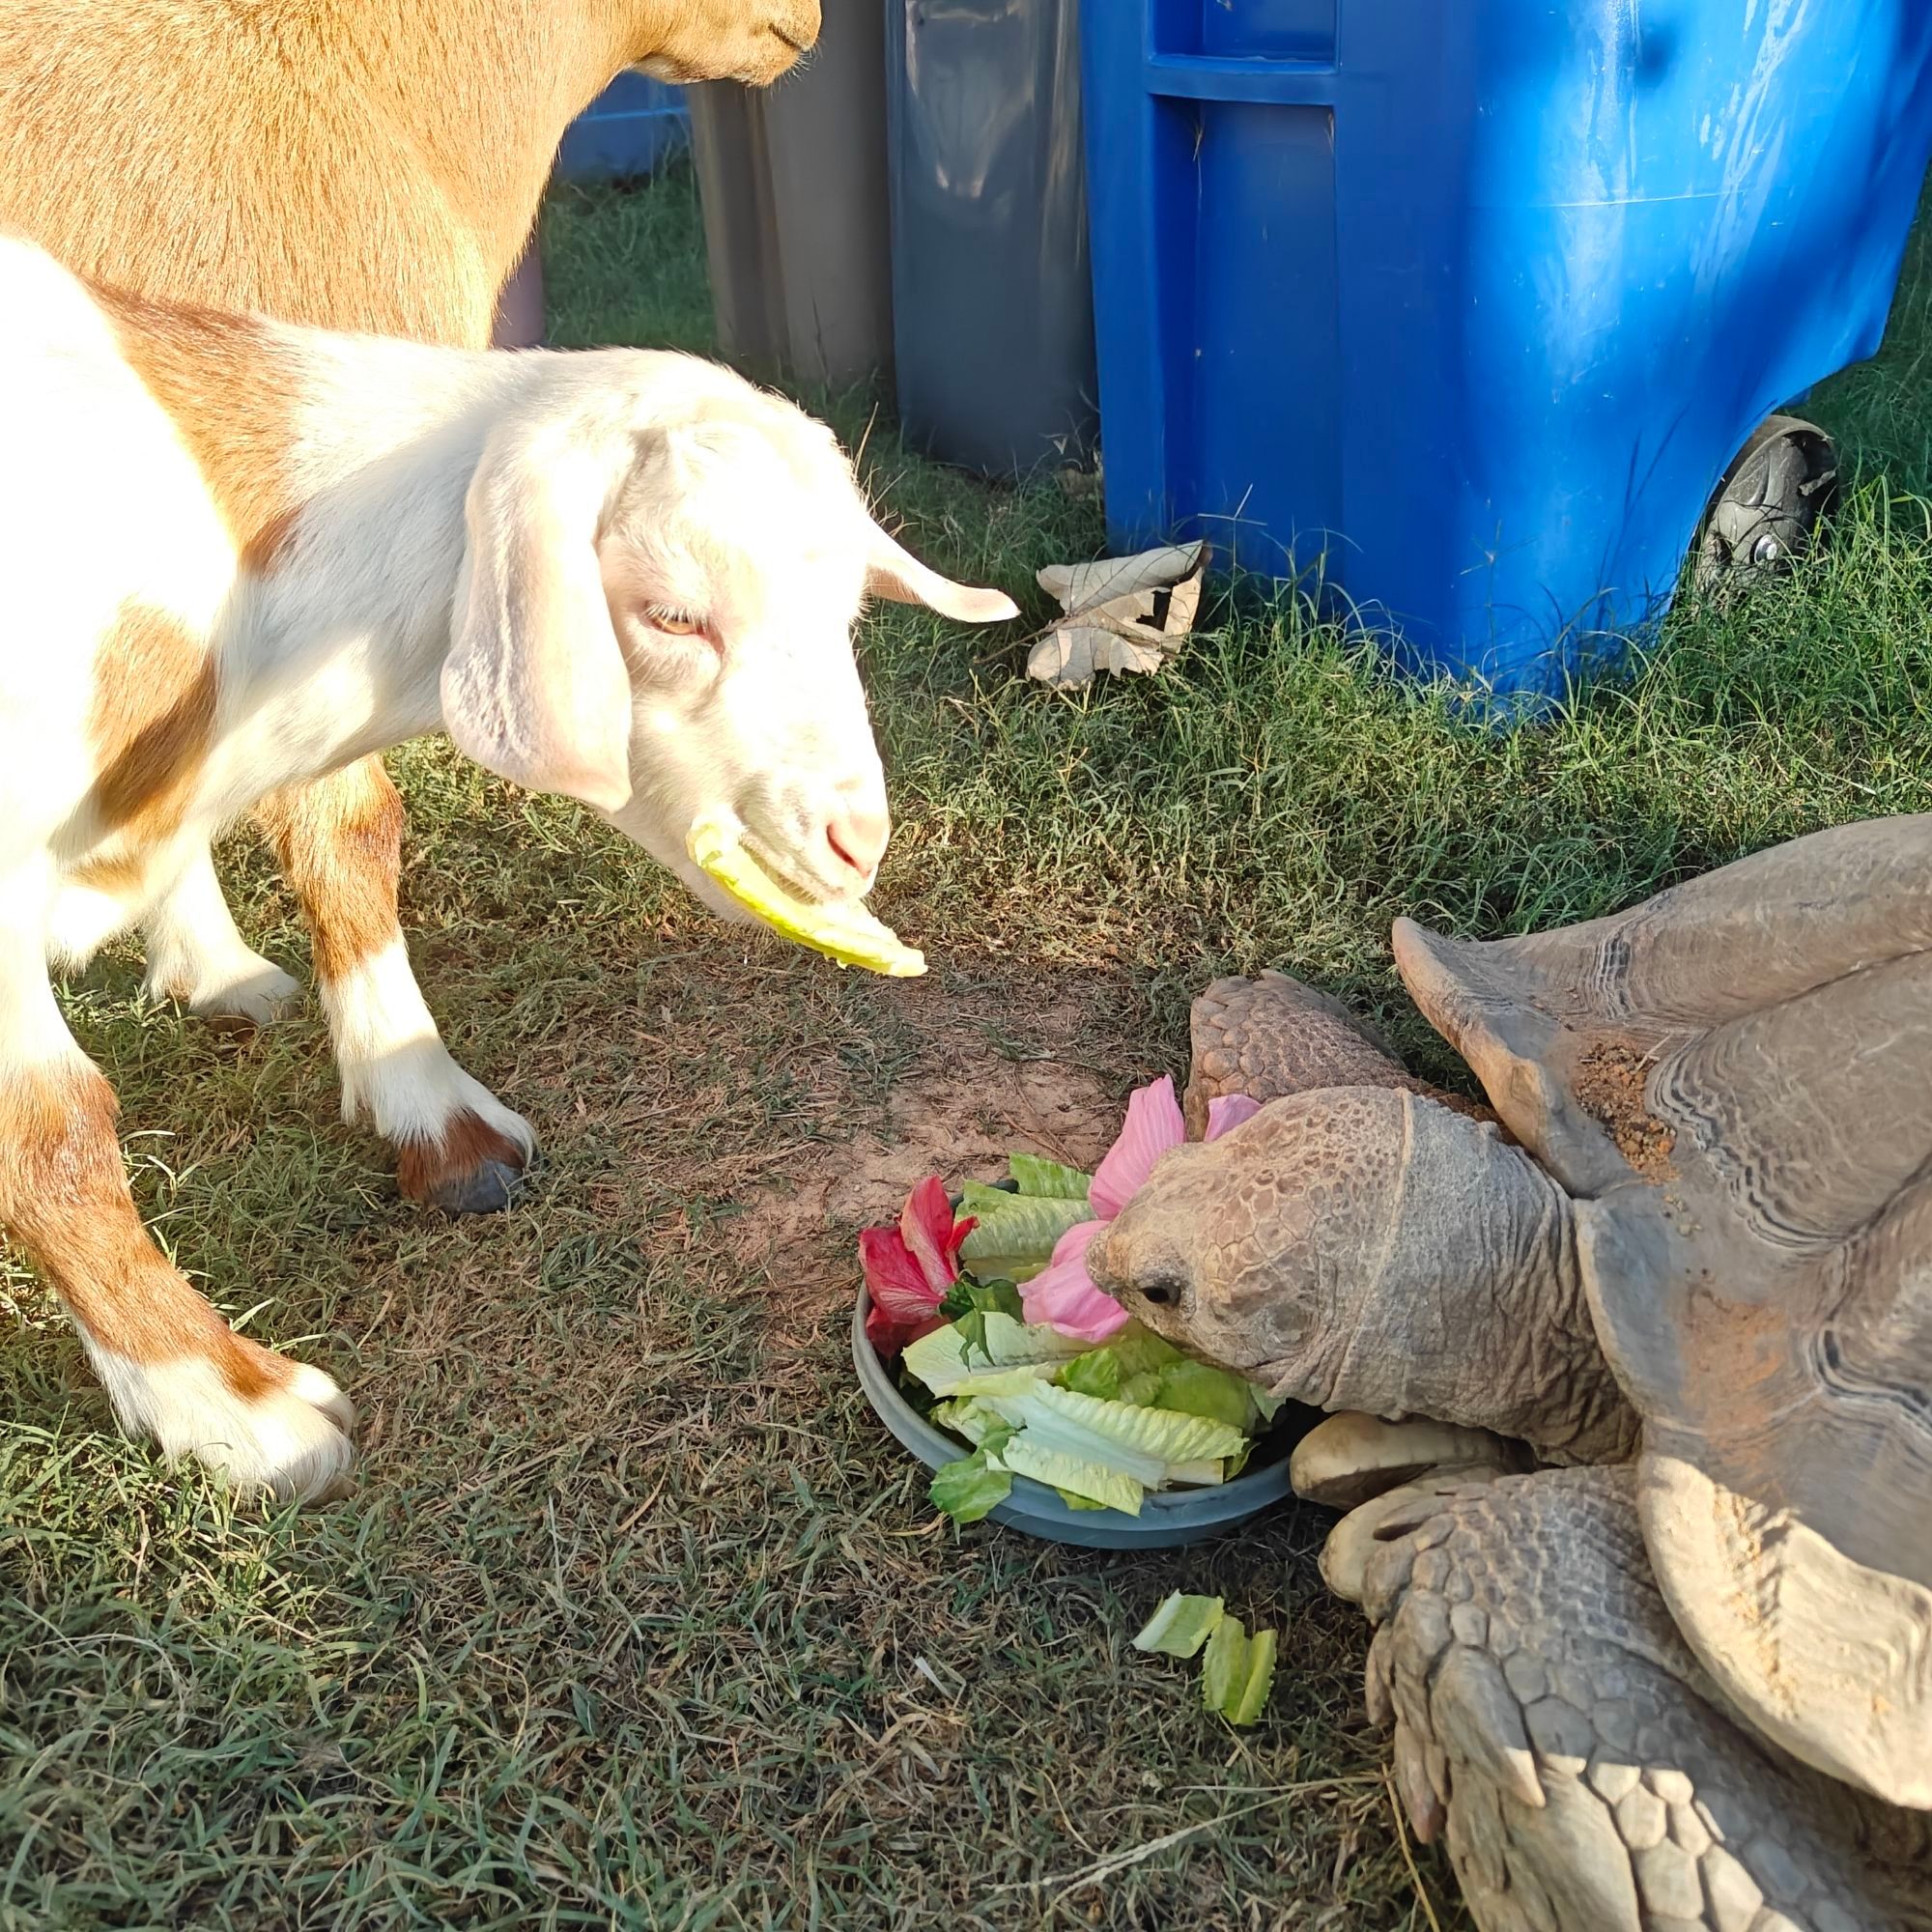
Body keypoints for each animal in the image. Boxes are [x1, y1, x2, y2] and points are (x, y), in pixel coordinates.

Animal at [0, 242, 1020, 1499]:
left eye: (845, 611)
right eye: (671, 616)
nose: (855, 840)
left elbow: (352, 838)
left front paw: (433, 1115)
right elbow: (54, 1128)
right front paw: (232, 1406)